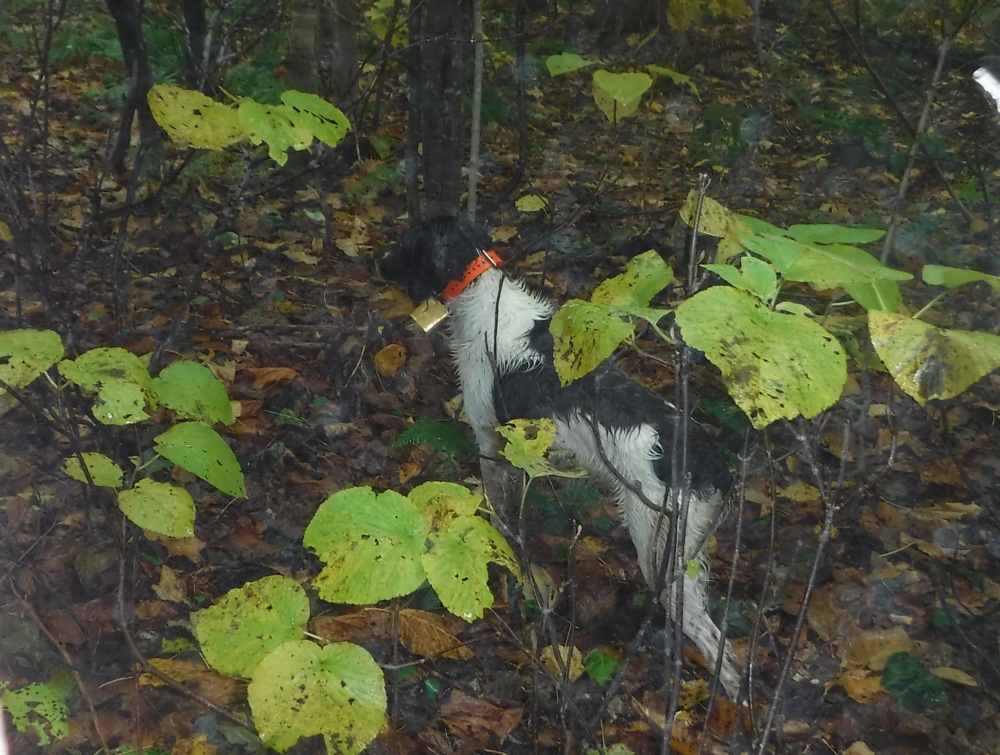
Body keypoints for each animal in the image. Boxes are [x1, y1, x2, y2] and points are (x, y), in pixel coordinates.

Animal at [378, 214, 740, 696]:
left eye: (405, 241)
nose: (377, 259)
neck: (487, 300)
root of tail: (712, 463)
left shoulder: (489, 439)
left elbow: (498, 515)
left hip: (660, 547)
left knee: (716, 644)